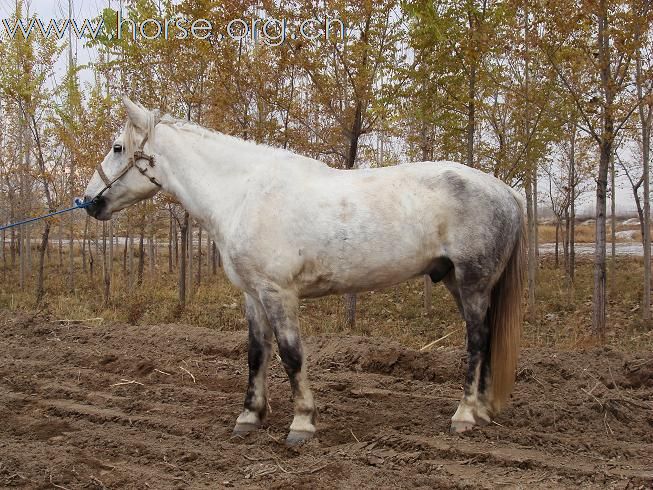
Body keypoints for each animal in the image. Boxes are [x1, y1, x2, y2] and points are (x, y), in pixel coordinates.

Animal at [83, 97, 524, 446]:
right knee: (485, 339)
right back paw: (482, 411)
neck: (242, 193)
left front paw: (302, 424)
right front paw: (250, 416)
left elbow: (291, 355)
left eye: (117, 147)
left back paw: (464, 415)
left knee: (477, 342)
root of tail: (506, 191)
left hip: (473, 283)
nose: (89, 202)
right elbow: (256, 353)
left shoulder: (279, 293)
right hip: (455, 281)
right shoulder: (253, 294)